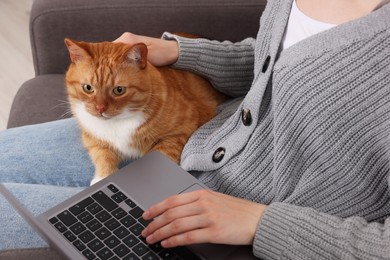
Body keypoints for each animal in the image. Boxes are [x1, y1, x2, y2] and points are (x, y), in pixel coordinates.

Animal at [64, 38, 225, 185]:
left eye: (119, 90)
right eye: (88, 88)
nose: (100, 109)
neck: (118, 122)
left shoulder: (181, 130)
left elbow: (163, 154)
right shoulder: (92, 138)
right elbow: (102, 155)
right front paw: (103, 176)